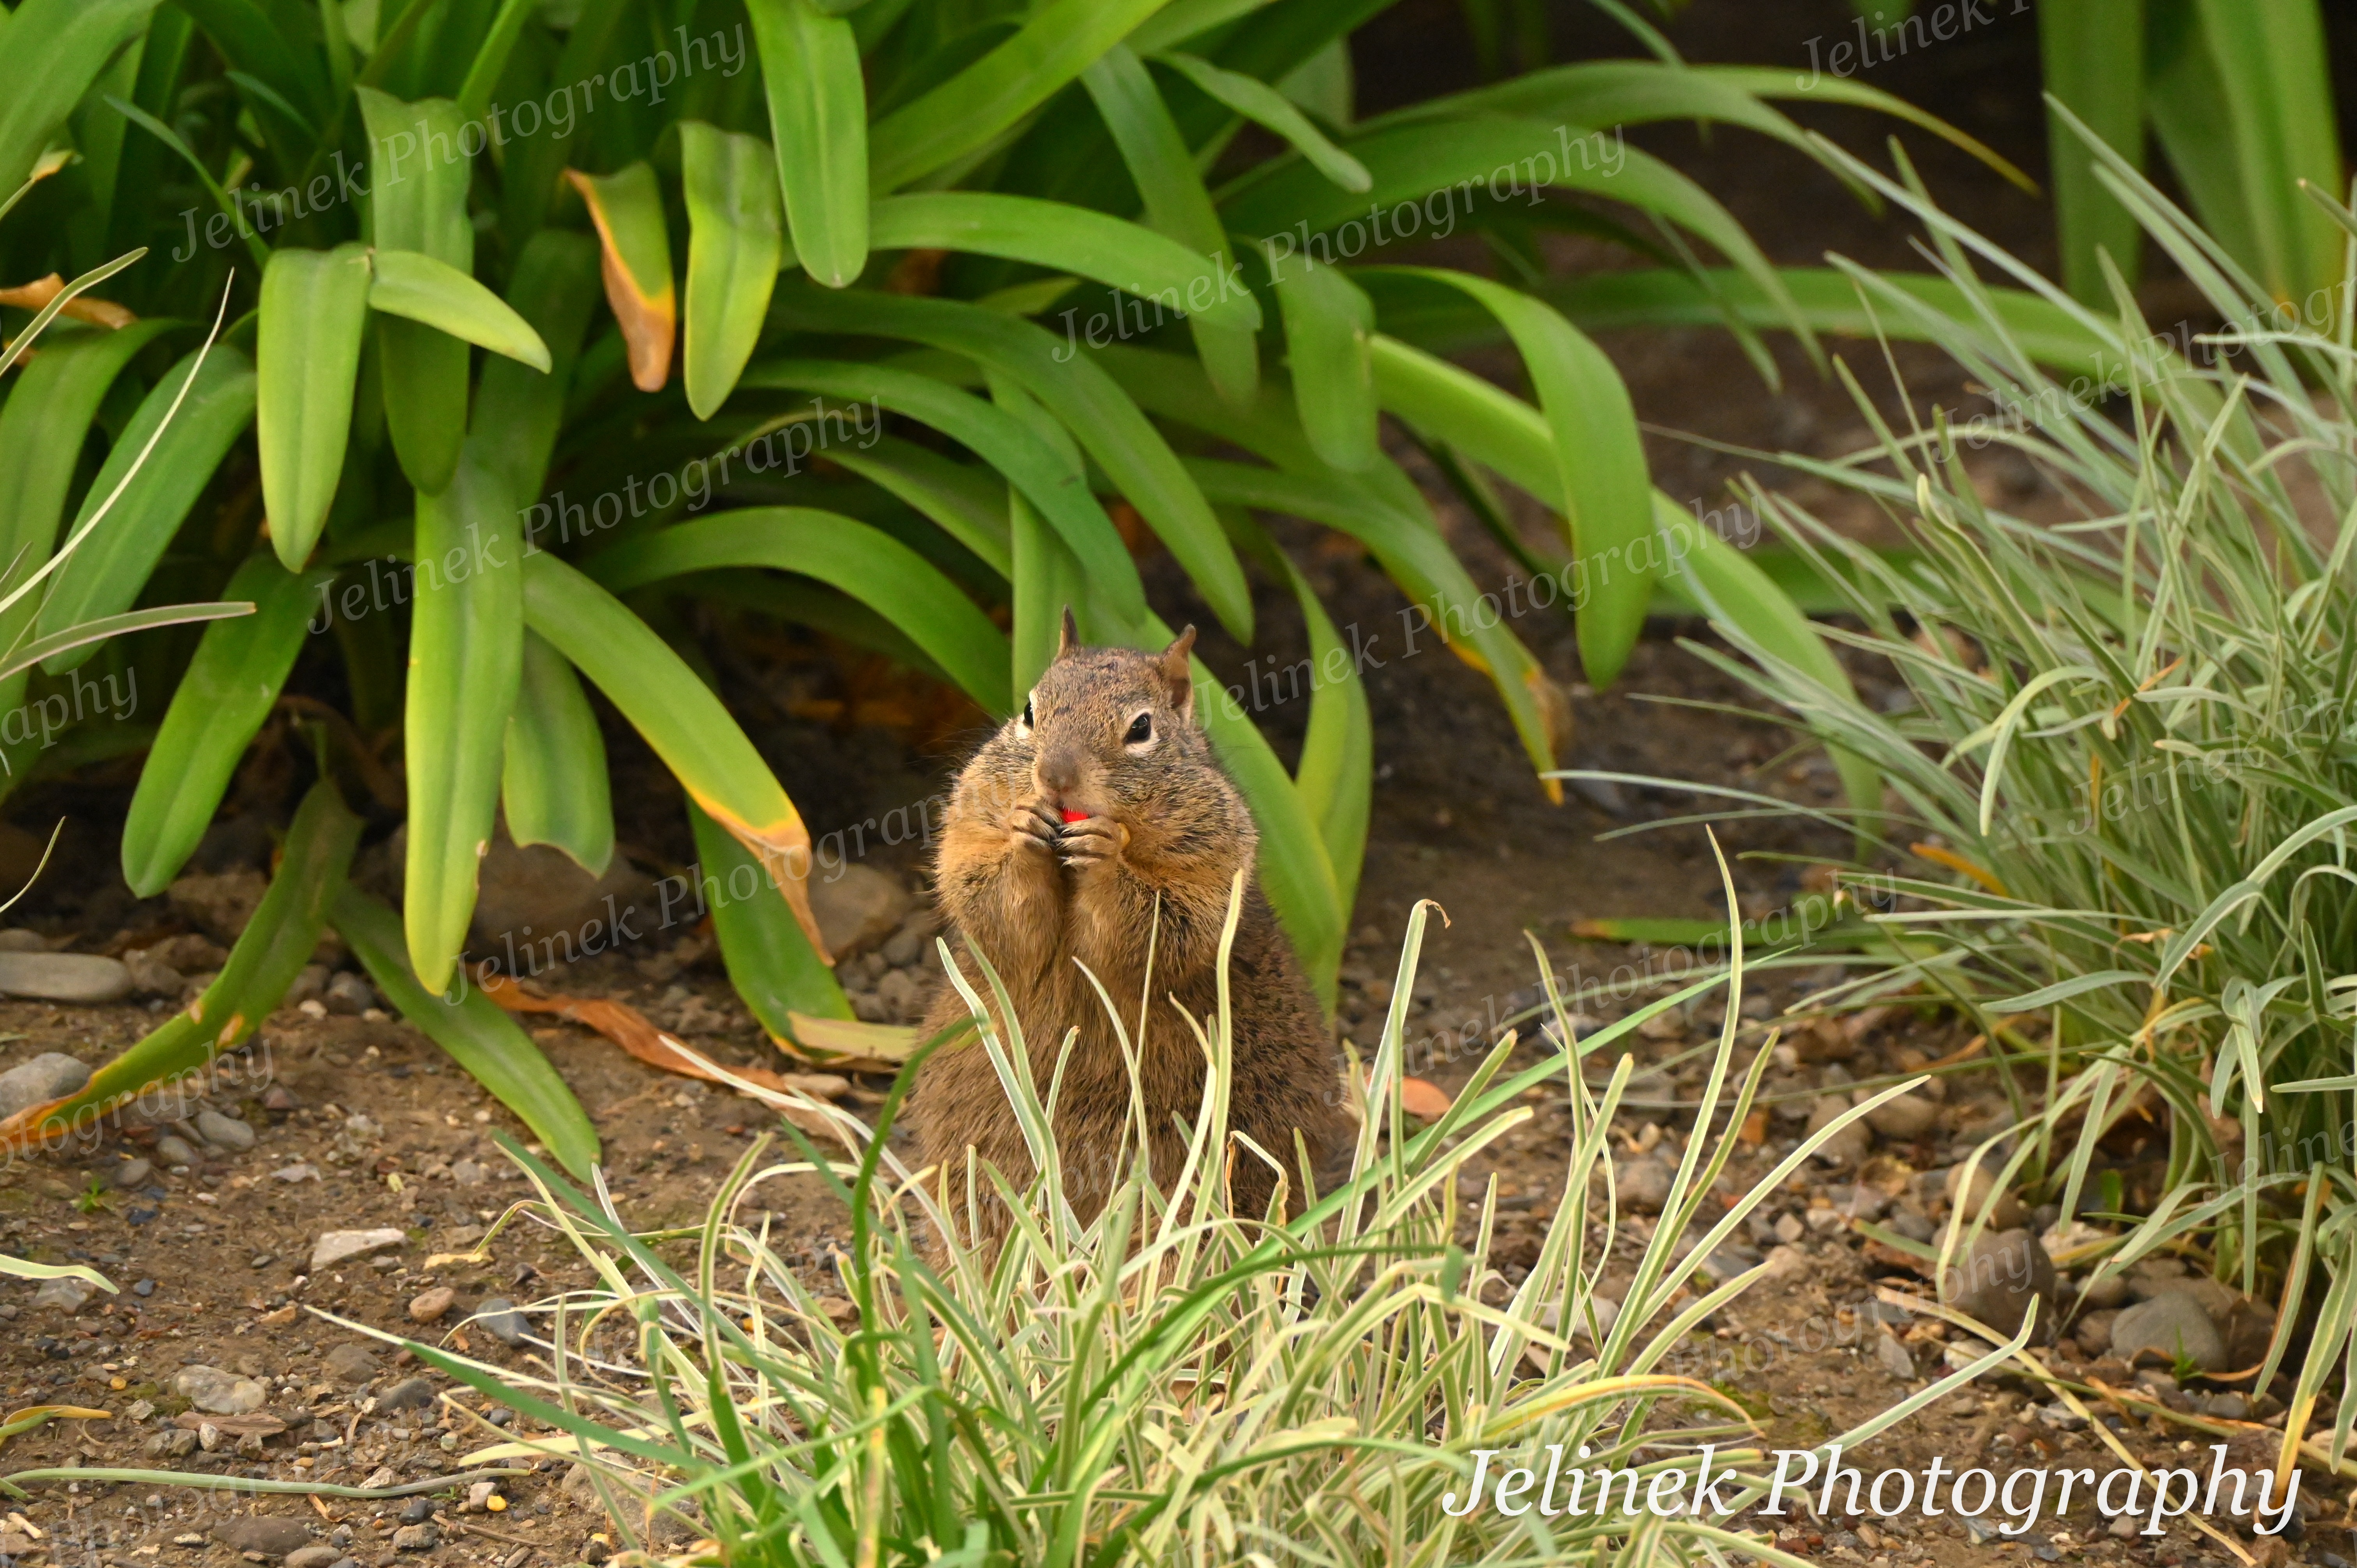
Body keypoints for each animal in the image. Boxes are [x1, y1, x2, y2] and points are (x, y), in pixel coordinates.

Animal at [906, 610, 1352, 1259]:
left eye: (1141, 728)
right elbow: (996, 909)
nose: (1055, 778)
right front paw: (1024, 832)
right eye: (1030, 711)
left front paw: (1108, 853)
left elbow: (1151, 932)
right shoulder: (969, 834)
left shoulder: (1207, 870)